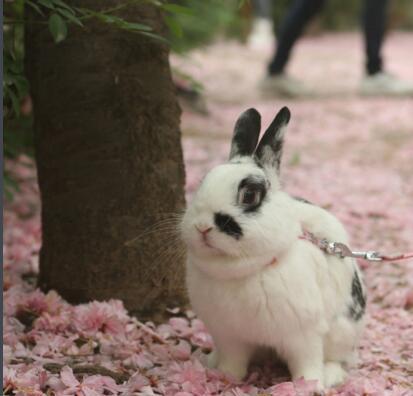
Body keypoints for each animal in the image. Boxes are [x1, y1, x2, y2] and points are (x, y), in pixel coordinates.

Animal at [180, 107, 364, 390]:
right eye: (202, 183)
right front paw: (227, 376)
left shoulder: (303, 334)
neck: (244, 269)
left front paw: (309, 386)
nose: (202, 227)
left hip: (341, 333)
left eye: (250, 195)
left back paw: (331, 375)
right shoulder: (229, 335)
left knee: (339, 359)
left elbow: (307, 361)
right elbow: (233, 361)